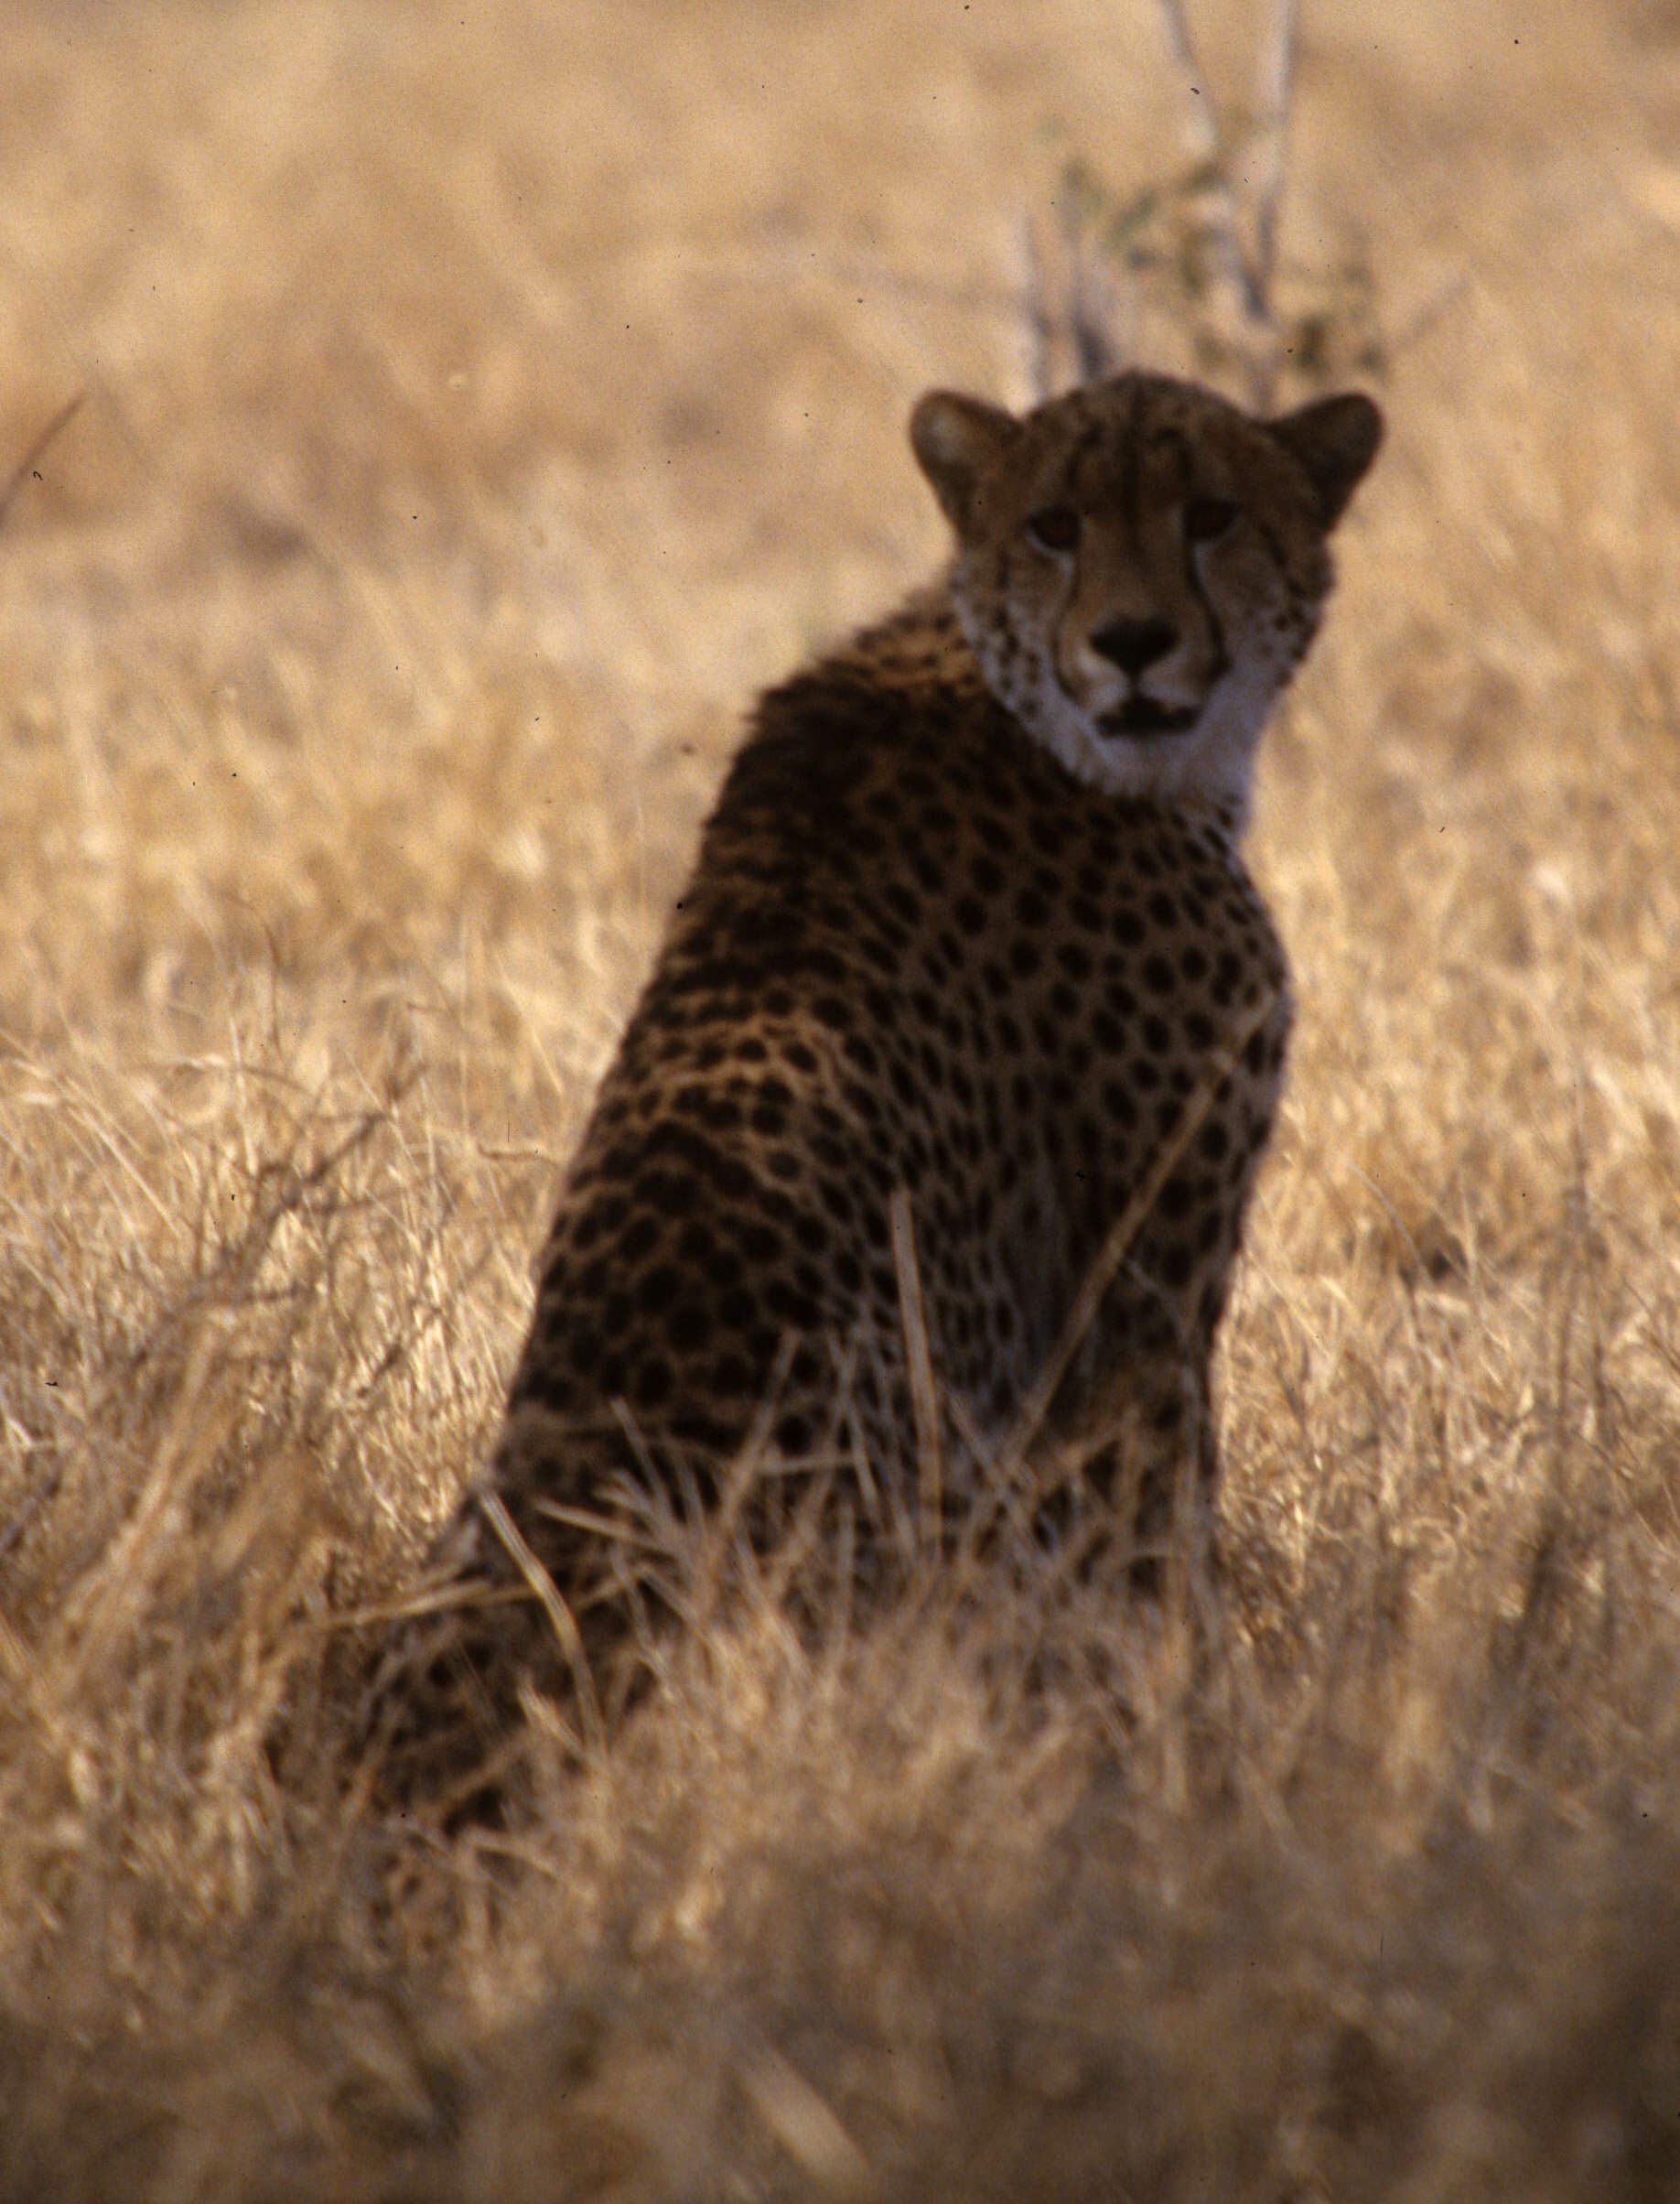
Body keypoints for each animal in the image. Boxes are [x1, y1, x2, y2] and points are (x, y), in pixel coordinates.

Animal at [370, 369, 1381, 1804]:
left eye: (1213, 515)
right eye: (1057, 524)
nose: (1132, 643)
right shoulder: (1140, 1289)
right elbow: (1161, 1543)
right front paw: (1210, 1741)